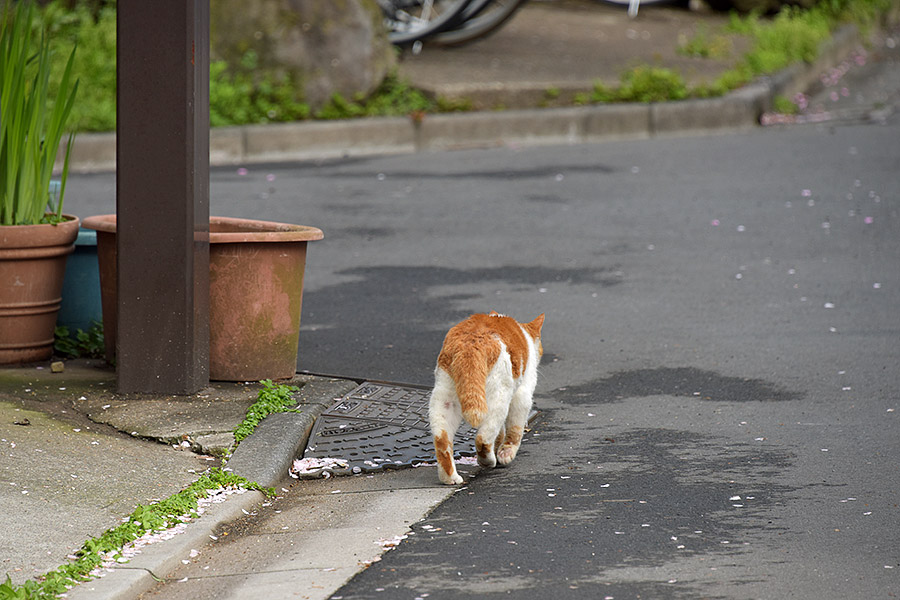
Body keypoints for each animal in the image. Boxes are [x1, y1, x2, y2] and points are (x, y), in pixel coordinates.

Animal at [428, 312, 544, 486]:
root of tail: (470, 342)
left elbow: (501, 432)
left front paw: (498, 447)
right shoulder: (522, 395)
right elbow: (514, 431)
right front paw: (506, 453)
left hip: (444, 399)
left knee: (442, 440)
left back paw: (450, 478)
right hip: (499, 397)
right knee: (483, 438)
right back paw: (487, 461)